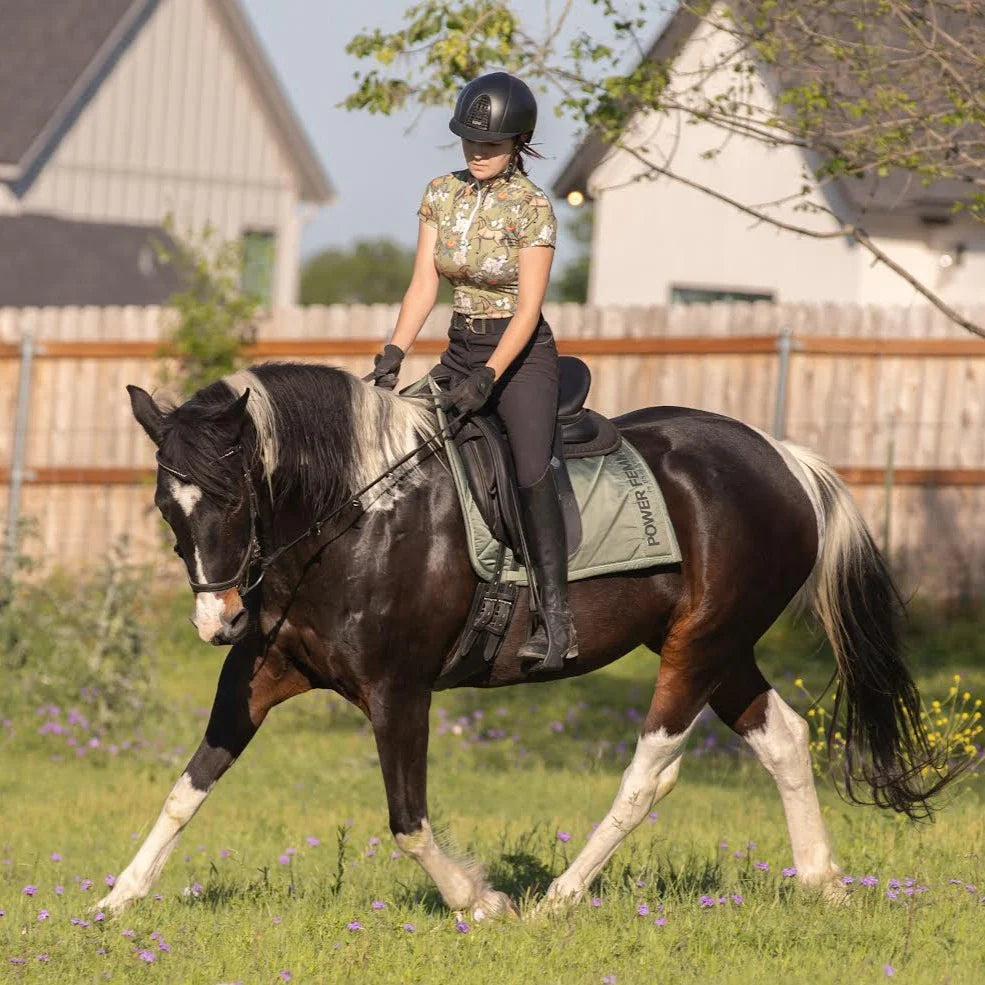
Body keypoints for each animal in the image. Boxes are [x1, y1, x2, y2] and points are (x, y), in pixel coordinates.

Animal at [102, 366, 952, 920]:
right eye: (166, 505)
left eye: (234, 496)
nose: (217, 622)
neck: (358, 513)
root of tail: (783, 461)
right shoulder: (259, 671)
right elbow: (188, 784)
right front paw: (117, 898)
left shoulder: (398, 690)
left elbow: (407, 820)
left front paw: (479, 900)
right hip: (721, 647)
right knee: (782, 739)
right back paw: (821, 881)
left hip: (701, 648)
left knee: (650, 770)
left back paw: (560, 897)